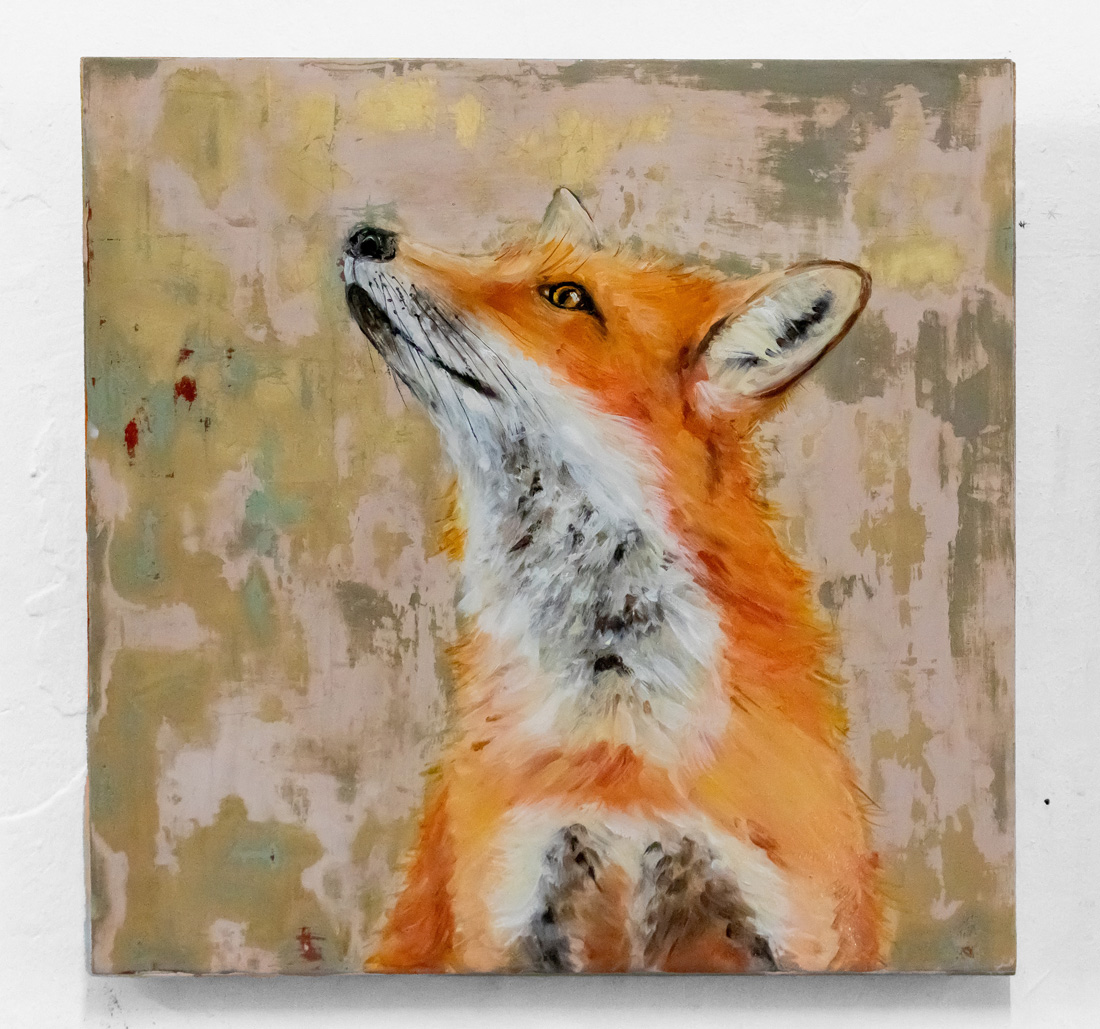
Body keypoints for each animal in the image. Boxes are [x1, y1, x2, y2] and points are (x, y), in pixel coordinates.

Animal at [342, 187, 886, 974]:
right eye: (498, 256)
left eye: (566, 296)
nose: (366, 236)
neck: (620, 739)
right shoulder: (506, 912)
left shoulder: (792, 926)